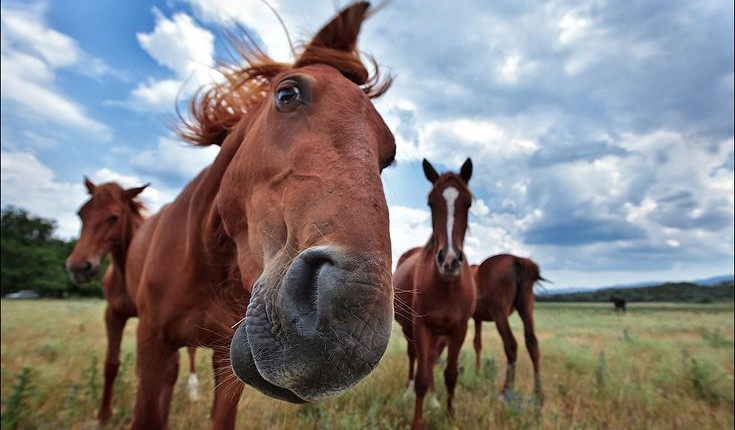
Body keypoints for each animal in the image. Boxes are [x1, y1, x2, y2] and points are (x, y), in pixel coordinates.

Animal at [64, 179, 203, 426]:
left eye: (114, 217)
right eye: (81, 214)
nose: (79, 267)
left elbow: (163, 371)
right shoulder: (114, 314)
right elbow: (112, 364)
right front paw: (104, 416)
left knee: (189, 354)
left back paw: (192, 390)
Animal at [123, 2, 396, 426]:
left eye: (389, 155)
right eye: (287, 93)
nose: (354, 324)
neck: (206, 262)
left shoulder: (225, 363)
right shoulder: (152, 345)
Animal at [396, 158, 478, 430]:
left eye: (468, 202)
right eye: (431, 203)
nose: (449, 260)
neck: (445, 284)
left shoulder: (458, 329)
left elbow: (450, 374)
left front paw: (450, 416)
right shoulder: (421, 327)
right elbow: (422, 375)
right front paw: (417, 421)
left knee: (431, 359)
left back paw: (433, 399)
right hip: (410, 329)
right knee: (415, 358)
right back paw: (408, 391)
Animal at [472, 254, 548, 402]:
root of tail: (517, 260)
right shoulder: (477, 319)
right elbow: (477, 344)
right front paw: (477, 374)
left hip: (499, 313)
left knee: (511, 345)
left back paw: (506, 391)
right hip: (526, 308)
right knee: (532, 343)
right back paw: (538, 394)